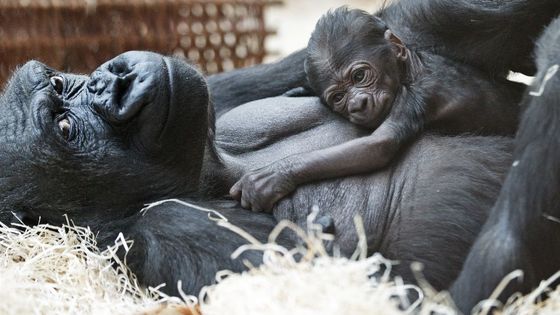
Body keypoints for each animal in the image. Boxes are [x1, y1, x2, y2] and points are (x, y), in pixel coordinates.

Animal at [230, 7, 524, 214]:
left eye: (360, 76)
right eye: (338, 97)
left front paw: (277, 175)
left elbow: (377, 147)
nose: (357, 104)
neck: (411, 67)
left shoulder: (413, 98)